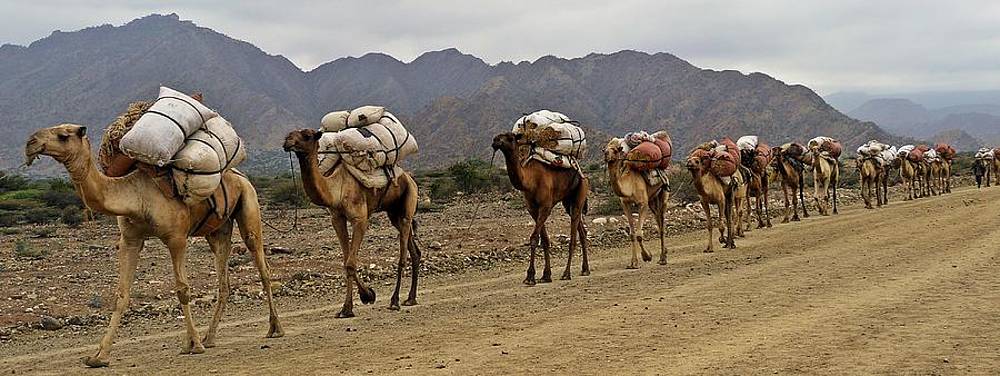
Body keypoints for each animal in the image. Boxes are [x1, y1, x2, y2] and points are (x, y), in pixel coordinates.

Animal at [24, 124, 282, 368]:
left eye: (64, 135)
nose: (30, 143)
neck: (136, 197)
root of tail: (240, 175)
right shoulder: (130, 239)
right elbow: (121, 294)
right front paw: (99, 356)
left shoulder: (176, 237)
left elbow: (182, 290)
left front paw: (194, 345)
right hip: (218, 230)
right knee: (224, 281)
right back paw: (209, 337)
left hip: (249, 203)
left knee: (262, 266)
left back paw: (274, 328)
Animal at [282, 129, 422, 314]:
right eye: (291, 134)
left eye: (306, 135)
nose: (287, 141)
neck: (336, 189)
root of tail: (410, 177)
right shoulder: (337, 219)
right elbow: (346, 261)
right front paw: (359, 300)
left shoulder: (360, 219)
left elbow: (350, 263)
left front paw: (357, 302)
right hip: (394, 213)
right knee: (414, 251)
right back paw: (411, 298)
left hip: (408, 201)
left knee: (402, 255)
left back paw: (395, 301)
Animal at [490, 134, 588, 284]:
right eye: (498, 137)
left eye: (510, 138)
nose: (495, 141)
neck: (530, 180)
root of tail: (582, 173)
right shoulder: (532, 209)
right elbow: (545, 240)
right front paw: (546, 275)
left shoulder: (545, 206)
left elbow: (534, 238)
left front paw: (530, 277)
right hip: (567, 202)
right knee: (581, 231)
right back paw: (585, 269)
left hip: (580, 193)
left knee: (573, 237)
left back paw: (566, 273)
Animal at [604, 140, 668, 268]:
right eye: (604, 149)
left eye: (615, 150)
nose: (606, 155)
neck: (629, 184)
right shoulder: (625, 204)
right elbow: (632, 234)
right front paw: (633, 262)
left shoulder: (643, 203)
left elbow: (639, 234)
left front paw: (647, 256)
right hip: (653, 200)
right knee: (658, 219)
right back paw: (663, 255)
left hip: (663, 193)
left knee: (662, 223)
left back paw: (663, 258)